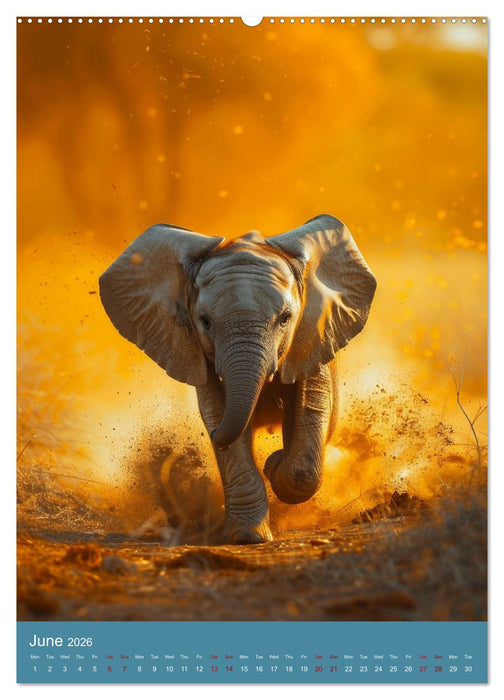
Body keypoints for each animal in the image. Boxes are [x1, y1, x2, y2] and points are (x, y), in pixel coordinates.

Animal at [99, 214, 376, 544]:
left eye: (286, 318)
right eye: (205, 321)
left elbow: (311, 410)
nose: (208, 434)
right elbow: (220, 412)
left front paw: (274, 464)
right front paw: (247, 537)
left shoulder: (312, 338)